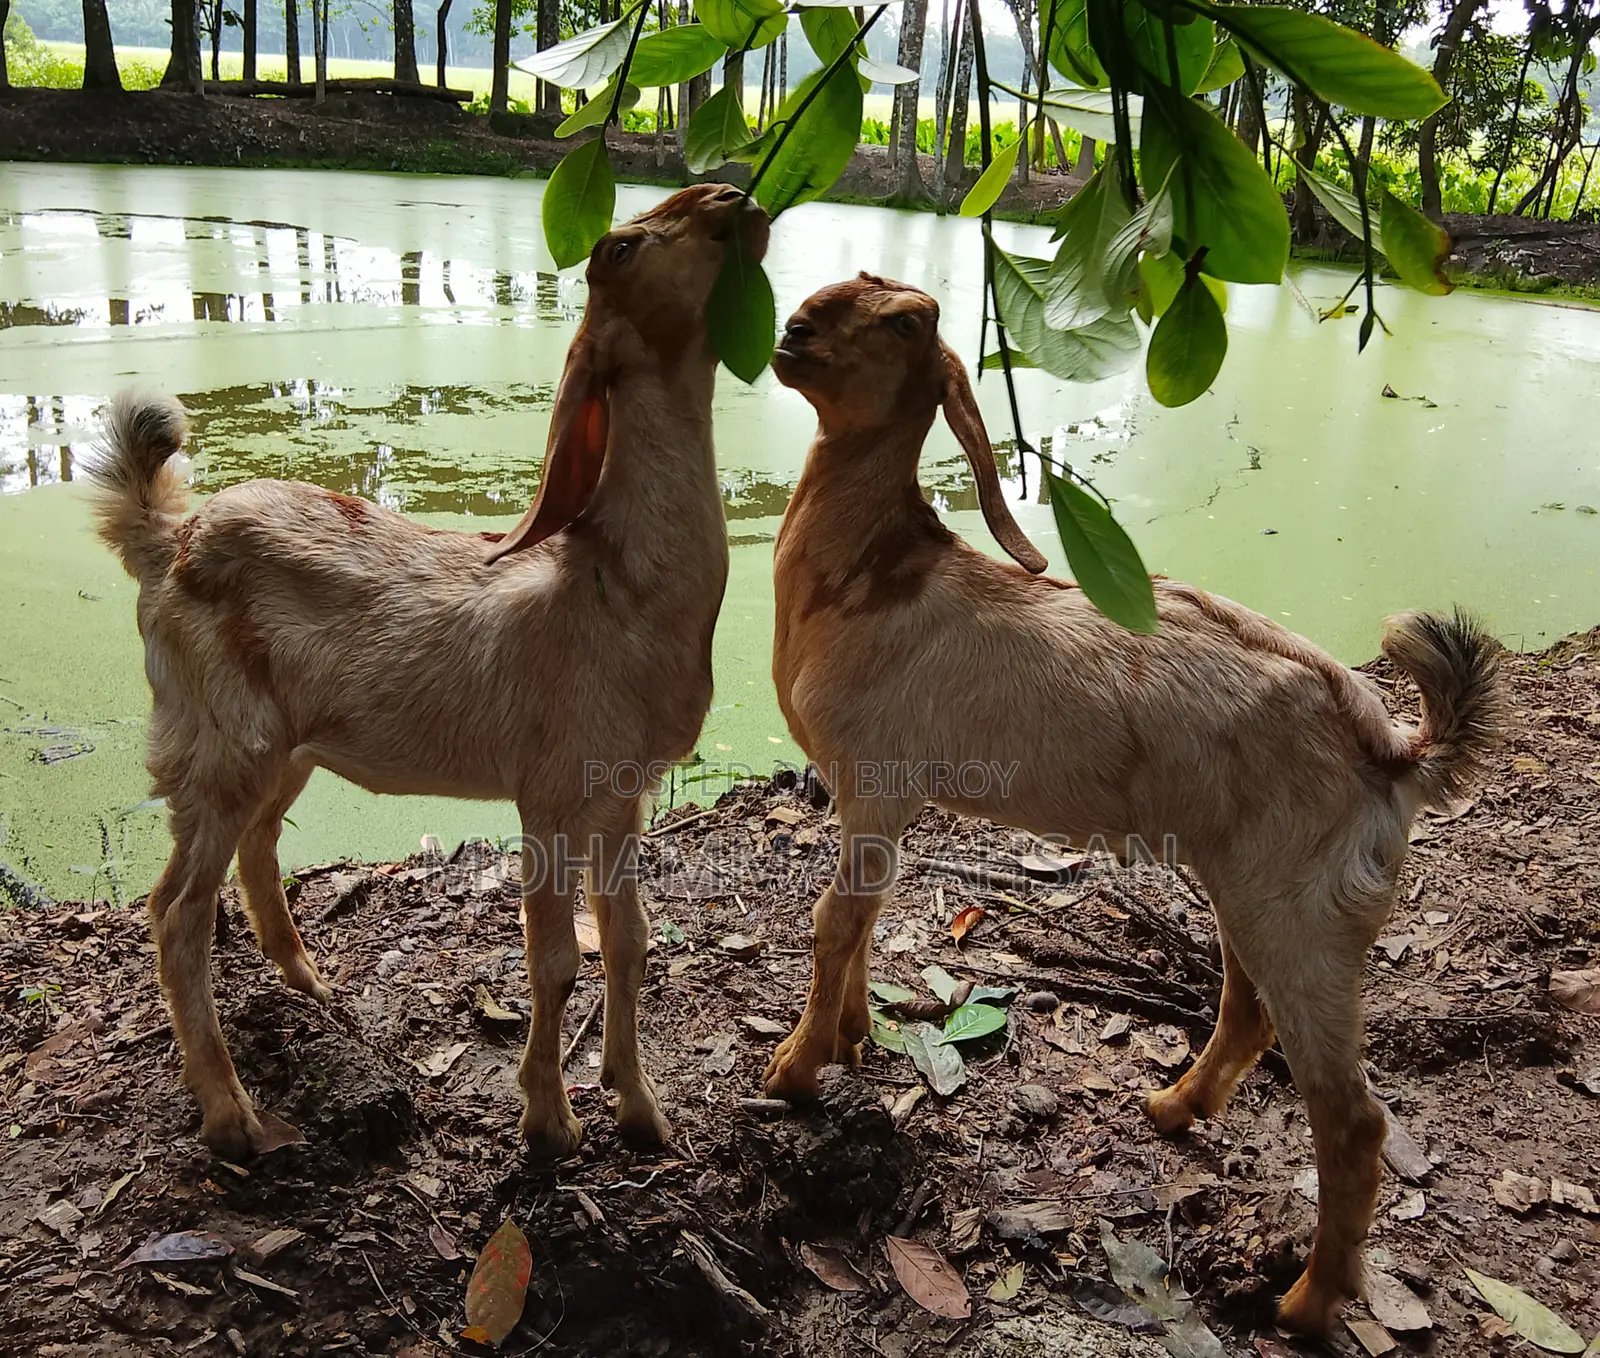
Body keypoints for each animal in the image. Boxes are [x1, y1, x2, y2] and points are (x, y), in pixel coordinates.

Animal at [86, 183, 768, 1162]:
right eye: (620, 247)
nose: (734, 196)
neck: (618, 592)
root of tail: (164, 541)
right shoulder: (551, 786)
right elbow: (555, 959)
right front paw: (549, 1121)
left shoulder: (622, 790)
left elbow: (631, 942)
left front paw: (642, 1109)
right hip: (218, 732)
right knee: (174, 909)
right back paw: (232, 1116)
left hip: (285, 742)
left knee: (259, 844)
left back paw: (311, 983)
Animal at [759, 273, 1507, 1335]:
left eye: (907, 323)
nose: (794, 330)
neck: (871, 576)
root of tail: (1397, 747)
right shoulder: (887, 808)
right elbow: (862, 921)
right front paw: (853, 1036)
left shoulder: (874, 781)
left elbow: (832, 921)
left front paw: (794, 1068)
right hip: (1252, 888)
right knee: (1247, 1014)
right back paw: (1171, 1110)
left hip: (1305, 913)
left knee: (1353, 1116)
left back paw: (1307, 1302)